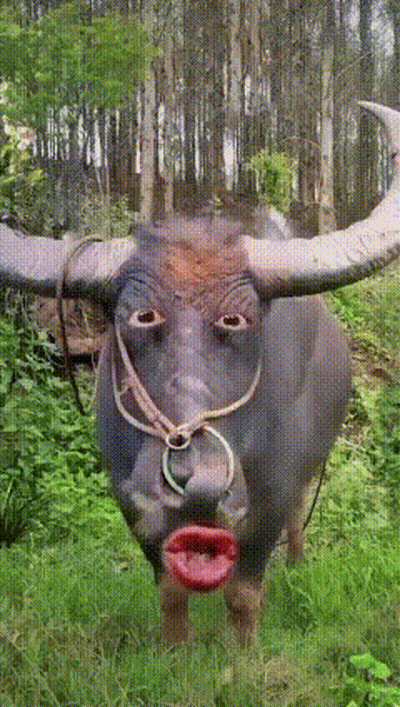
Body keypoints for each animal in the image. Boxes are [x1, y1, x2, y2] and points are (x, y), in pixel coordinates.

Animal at [1, 102, 400, 645]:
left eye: (238, 321)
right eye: (140, 317)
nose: (198, 481)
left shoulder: (269, 498)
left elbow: (244, 592)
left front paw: (241, 652)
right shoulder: (133, 499)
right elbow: (171, 589)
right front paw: (174, 649)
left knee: (299, 518)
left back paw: (297, 566)